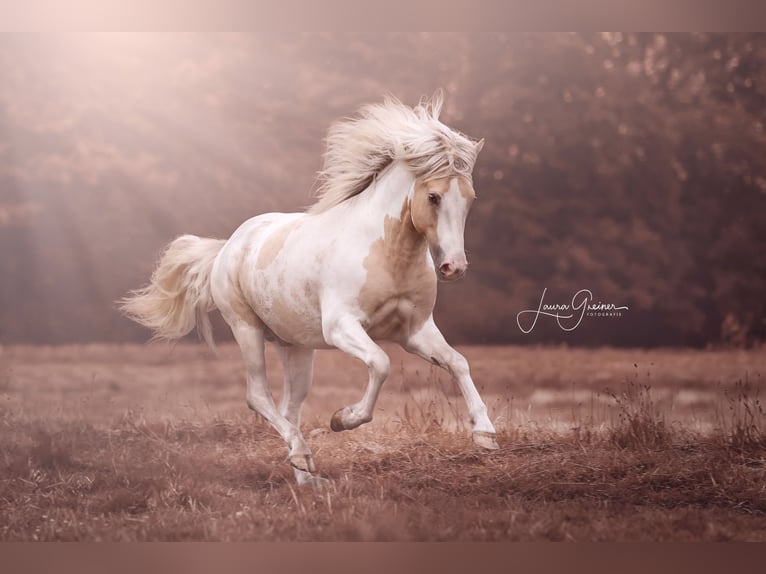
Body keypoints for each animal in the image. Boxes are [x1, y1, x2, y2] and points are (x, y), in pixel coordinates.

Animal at [121, 91, 498, 486]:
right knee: (259, 396)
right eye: (434, 197)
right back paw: (303, 456)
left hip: (297, 348)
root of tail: (228, 246)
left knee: (290, 407)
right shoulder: (341, 327)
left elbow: (458, 362)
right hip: (247, 329)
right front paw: (342, 419)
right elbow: (380, 364)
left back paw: (306, 477)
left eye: (470, 198)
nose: (454, 267)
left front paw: (485, 434)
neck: (389, 253)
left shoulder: (415, 332)